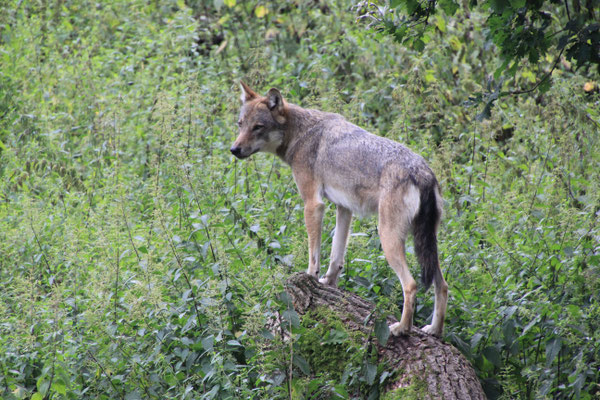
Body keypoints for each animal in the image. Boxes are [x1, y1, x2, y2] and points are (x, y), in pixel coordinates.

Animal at [232, 82, 448, 338]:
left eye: (258, 127)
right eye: (240, 124)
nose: (234, 149)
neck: (301, 133)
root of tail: (423, 172)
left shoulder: (313, 204)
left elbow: (314, 255)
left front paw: (311, 279)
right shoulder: (344, 208)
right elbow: (336, 255)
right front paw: (328, 283)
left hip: (388, 239)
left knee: (412, 285)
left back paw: (401, 329)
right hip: (427, 244)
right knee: (442, 285)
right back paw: (434, 330)